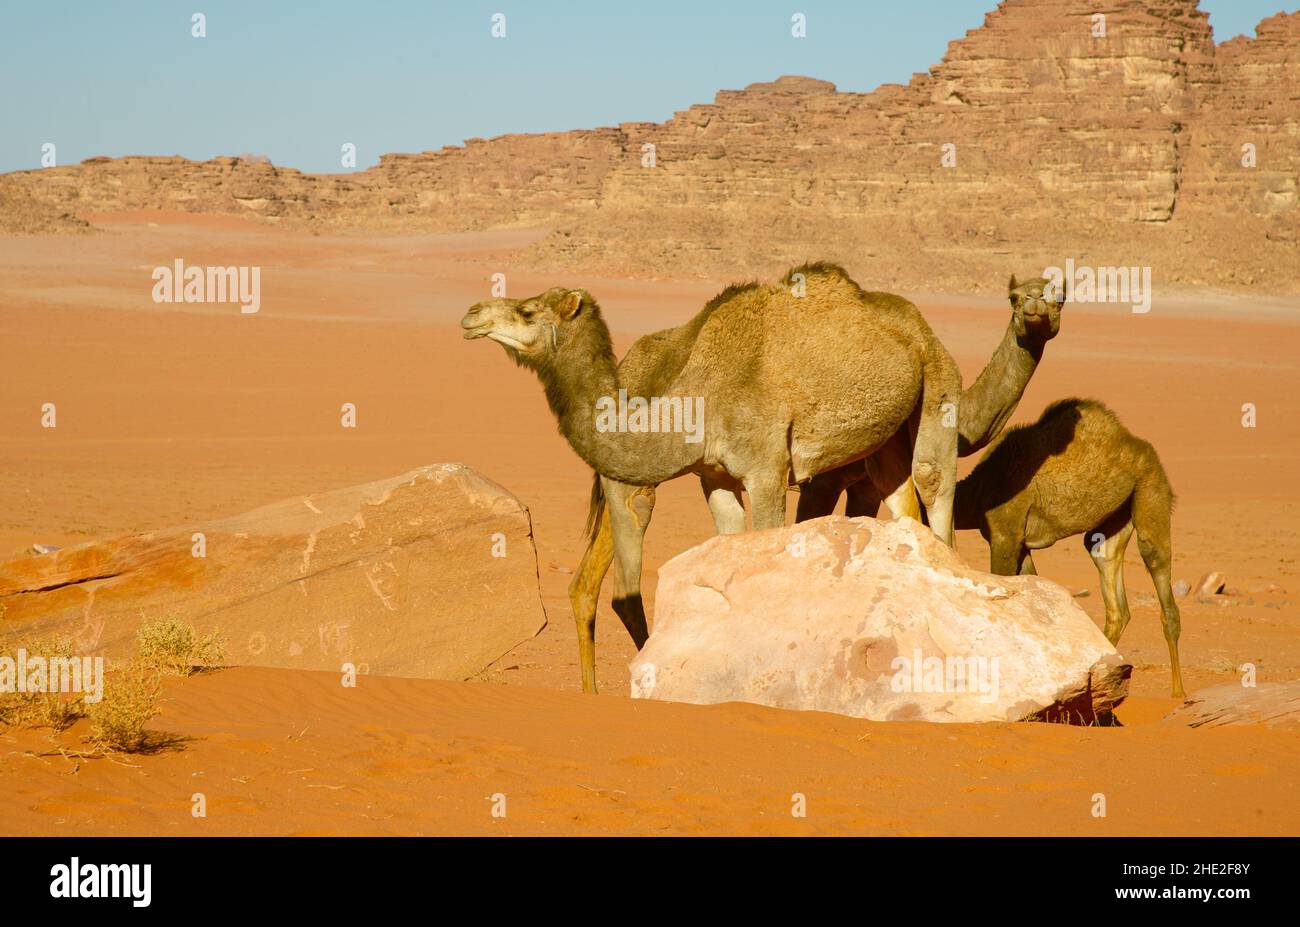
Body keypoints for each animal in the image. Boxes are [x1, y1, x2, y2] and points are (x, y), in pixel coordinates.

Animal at [462, 263, 962, 692]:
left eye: (527, 311)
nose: (472, 314)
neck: (698, 398)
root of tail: (918, 324)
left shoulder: (767, 470)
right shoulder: (714, 476)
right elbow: (730, 549)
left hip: (939, 387)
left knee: (934, 488)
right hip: (886, 438)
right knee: (902, 499)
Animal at [562, 272, 1064, 693]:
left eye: (1060, 295)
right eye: (1015, 298)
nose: (1037, 308)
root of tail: (625, 366)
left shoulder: (861, 476)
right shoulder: (826, 478)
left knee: (589, 582)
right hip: (640, 475)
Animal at [953, 398, 1184, 697]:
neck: (977, 490)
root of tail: (1138, 444)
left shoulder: (1005, 534)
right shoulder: (1021, 543)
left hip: (1150, 487)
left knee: (1160, 579)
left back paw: (1178, 693)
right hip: (1111, 524)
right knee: (1116, 599)